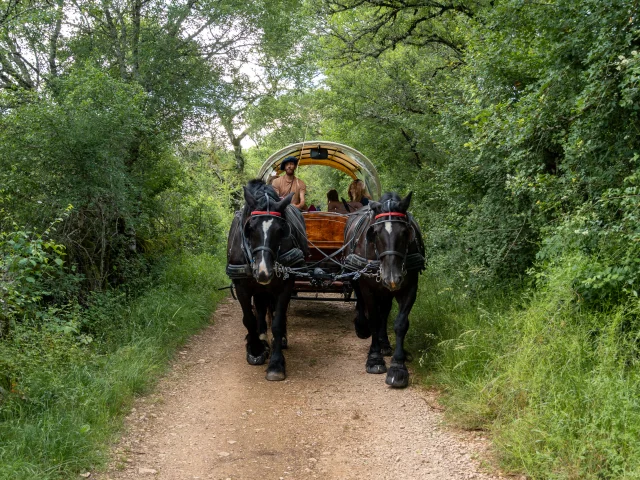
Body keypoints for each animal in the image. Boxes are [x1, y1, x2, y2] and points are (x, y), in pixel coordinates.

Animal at [226, 178, 306, 380]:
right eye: (250, 228)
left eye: (280, 230)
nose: (264, 272)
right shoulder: (242, 286)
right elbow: (249, 318)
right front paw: (255, 350)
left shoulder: (285, 285)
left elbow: (277, 322)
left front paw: (276, 364)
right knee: (260, 311)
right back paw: (261, 338)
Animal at [344, 193, 424, 388]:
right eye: (376, 233)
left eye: (405, 233)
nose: (392, 277)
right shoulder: (367, 287)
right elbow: (373, 319)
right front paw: (374, 358)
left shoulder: (410, 287)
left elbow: (400, 323)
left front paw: (398, 366)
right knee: (362, 303)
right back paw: (362, 328)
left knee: (385, 312)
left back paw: (385, 344)